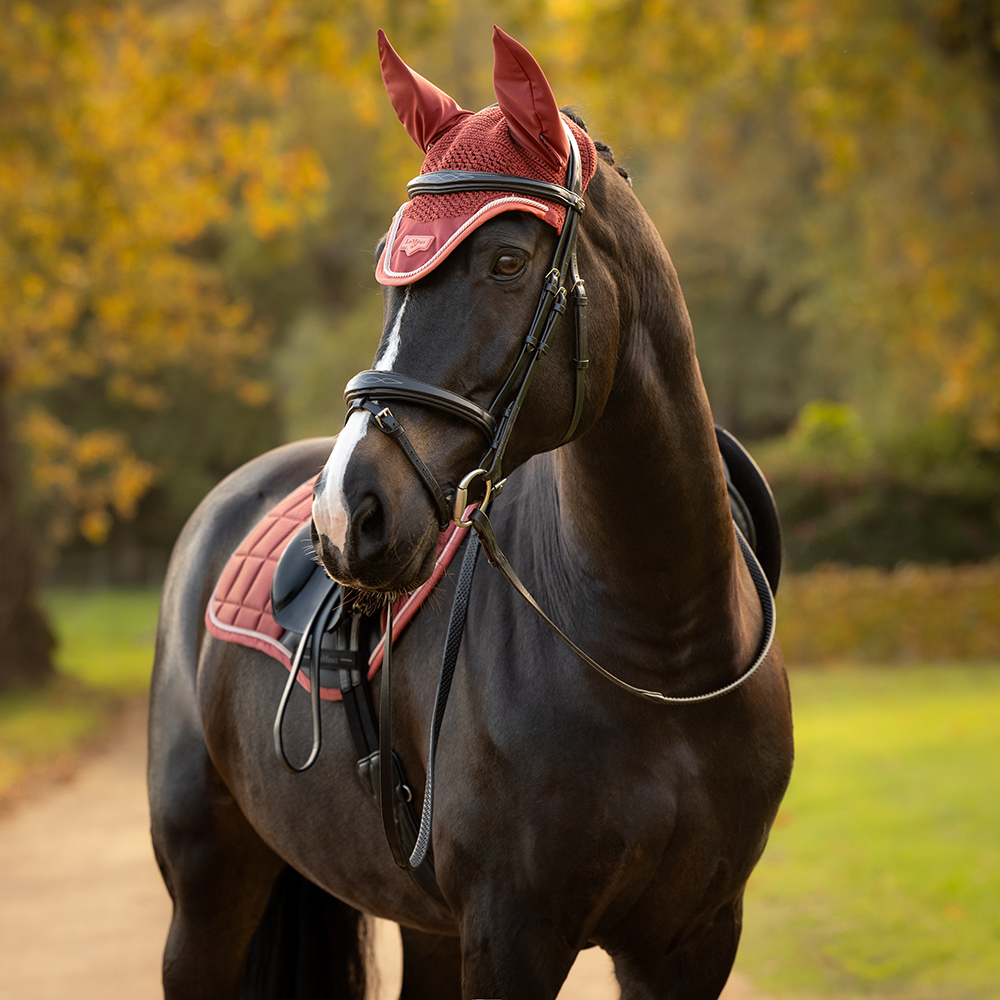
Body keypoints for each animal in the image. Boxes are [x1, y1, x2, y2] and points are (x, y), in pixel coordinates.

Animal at [148, 27, 793, 1000]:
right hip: (208, 890)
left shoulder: (693, 938)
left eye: (508, 262)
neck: (662, 652)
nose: (344, 516)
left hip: (423, 926)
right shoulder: (511, 933)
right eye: (391, 262)